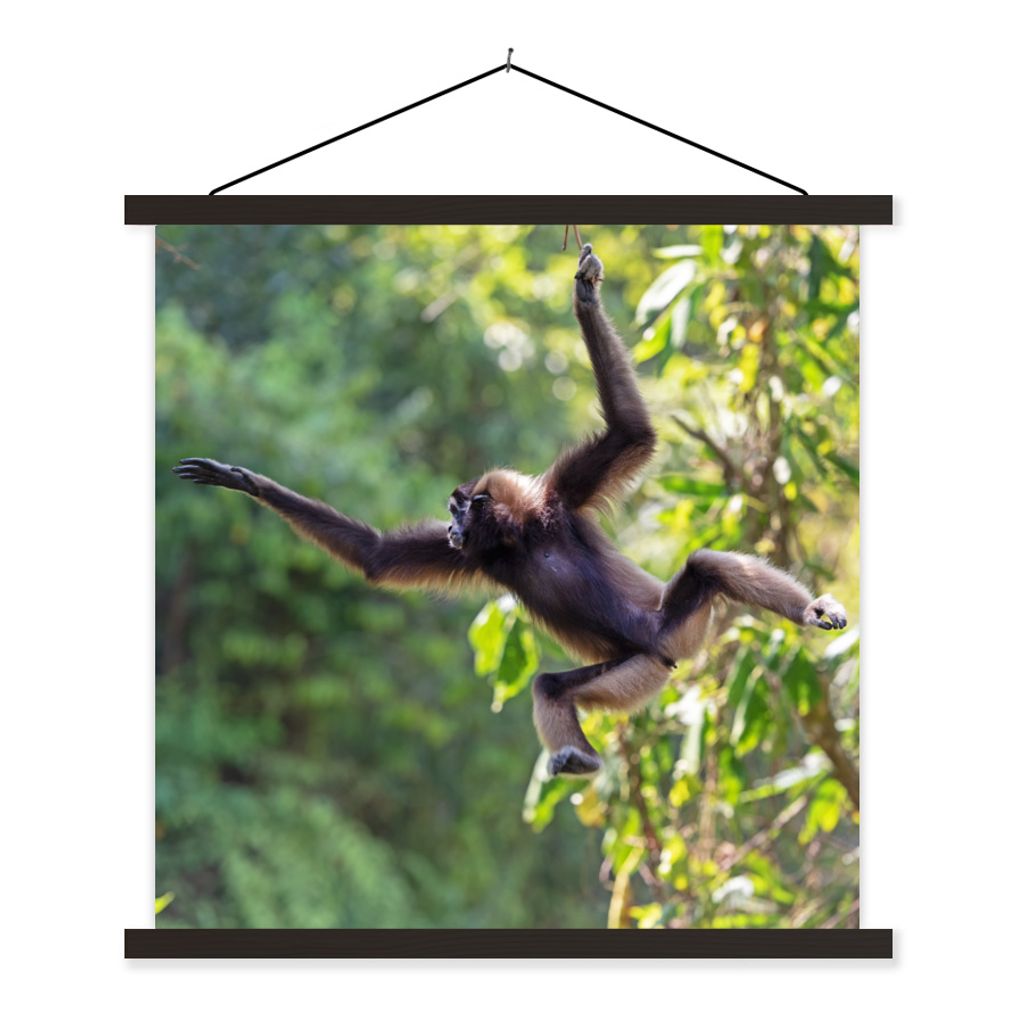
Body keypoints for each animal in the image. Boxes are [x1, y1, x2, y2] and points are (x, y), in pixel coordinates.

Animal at [174, 243, 847, 777]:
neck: (520, 537)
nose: (450, 528)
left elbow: (632, 435)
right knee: (552, 684)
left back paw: (809, 610)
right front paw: (243, 481)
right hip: (635, 668)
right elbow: (377, 559)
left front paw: (584, 298)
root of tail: (663, 651)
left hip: (669, 629)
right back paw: (580, 758)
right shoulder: (483, 557)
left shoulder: (559, 502)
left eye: (455, 510)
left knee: (704, 568)